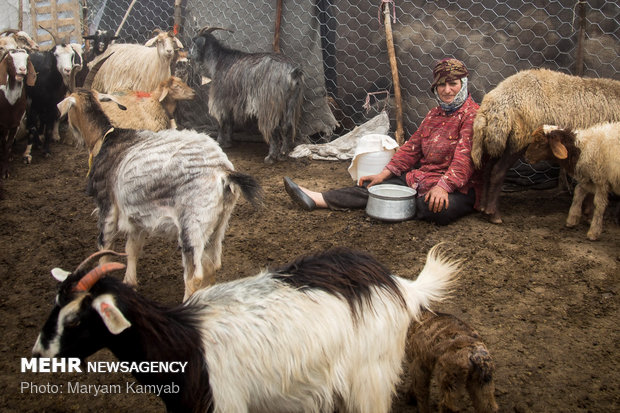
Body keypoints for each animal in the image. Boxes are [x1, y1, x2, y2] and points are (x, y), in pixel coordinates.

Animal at [32, 245, 460, 412]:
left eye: (76, 318)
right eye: (54, 305)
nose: (38, 354)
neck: (185, 344)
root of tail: (397, 283)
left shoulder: (226, 404)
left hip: (371, 374)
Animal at [55, 84, 262, 300]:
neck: (105, 138)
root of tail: (222, 171)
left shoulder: (108, 207)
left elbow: (104, 249)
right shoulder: (135, 215)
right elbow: (132, 249)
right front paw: (130, 282)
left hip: (193, 225)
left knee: (194, 277)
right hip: (219, 223)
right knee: (212, 266)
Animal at [190, 25, 304, 164]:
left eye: (193, 41)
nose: (188, 55)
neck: (218, 60)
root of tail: (292, 73)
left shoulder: (219, 98)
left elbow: (221, 121)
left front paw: (220, 142)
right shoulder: (231, 101)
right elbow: (230, 121)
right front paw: (229, 142)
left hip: (269, 104)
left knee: (273, 128)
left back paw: (271, 157)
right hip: (291, 103)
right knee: (287, 126)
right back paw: (283, 154)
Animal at [470, 68, 620, 224]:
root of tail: (490, 105)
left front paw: (588, 212)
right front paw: (591, 214)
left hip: (498, 140)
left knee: (488, 169)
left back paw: (483, 207)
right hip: (517, 140)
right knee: (497, 172)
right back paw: (494, 214)